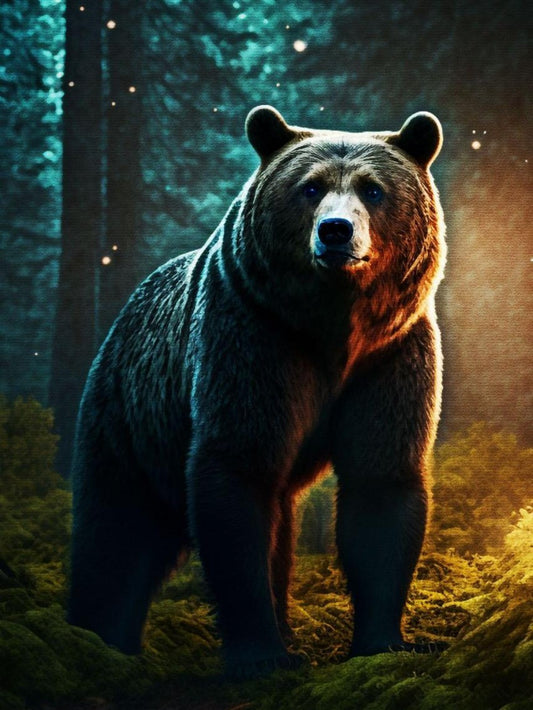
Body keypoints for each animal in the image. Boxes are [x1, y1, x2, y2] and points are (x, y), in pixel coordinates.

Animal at [68, 105, 447, 679]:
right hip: (129, 416)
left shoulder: (392, 354)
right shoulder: (255, 338)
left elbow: (382, 480)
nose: (336, 230)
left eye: (373, 189)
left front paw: (386, 642)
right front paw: (262, 653)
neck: (334, 329)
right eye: (310, 188)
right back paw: (95, 637)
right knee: (114, 530)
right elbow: (237, 475)